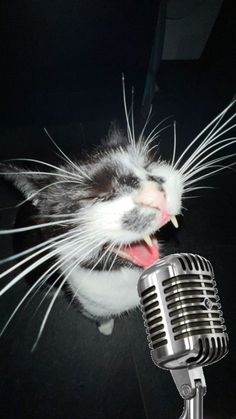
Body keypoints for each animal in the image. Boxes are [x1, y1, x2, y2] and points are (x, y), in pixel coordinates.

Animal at [0, 93, 235, 350]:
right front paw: (105, 327)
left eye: (148, 164)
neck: (124, 275)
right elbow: (100, 316)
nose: (154, 195)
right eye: (95, 197)